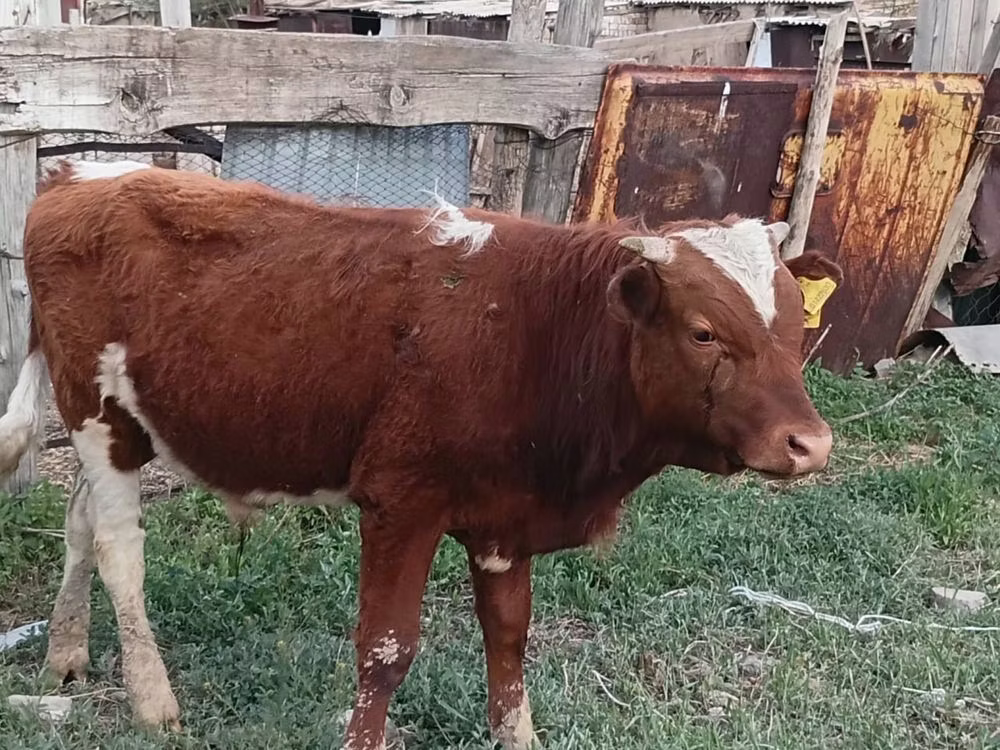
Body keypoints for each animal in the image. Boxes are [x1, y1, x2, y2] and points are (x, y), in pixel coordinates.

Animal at [0, 159, 841, 750]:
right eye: (703, 332)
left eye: (795, 323)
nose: (810, 444)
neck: (532, 328)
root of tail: (79, 176)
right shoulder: (401, 502)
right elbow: (385, 650)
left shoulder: (507, 515)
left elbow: (509, 633)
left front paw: (518, 735)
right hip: (98, 415)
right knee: (118, 547)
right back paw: (153, 699)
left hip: (110, 425)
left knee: (78, 523)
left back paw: (66, 653)